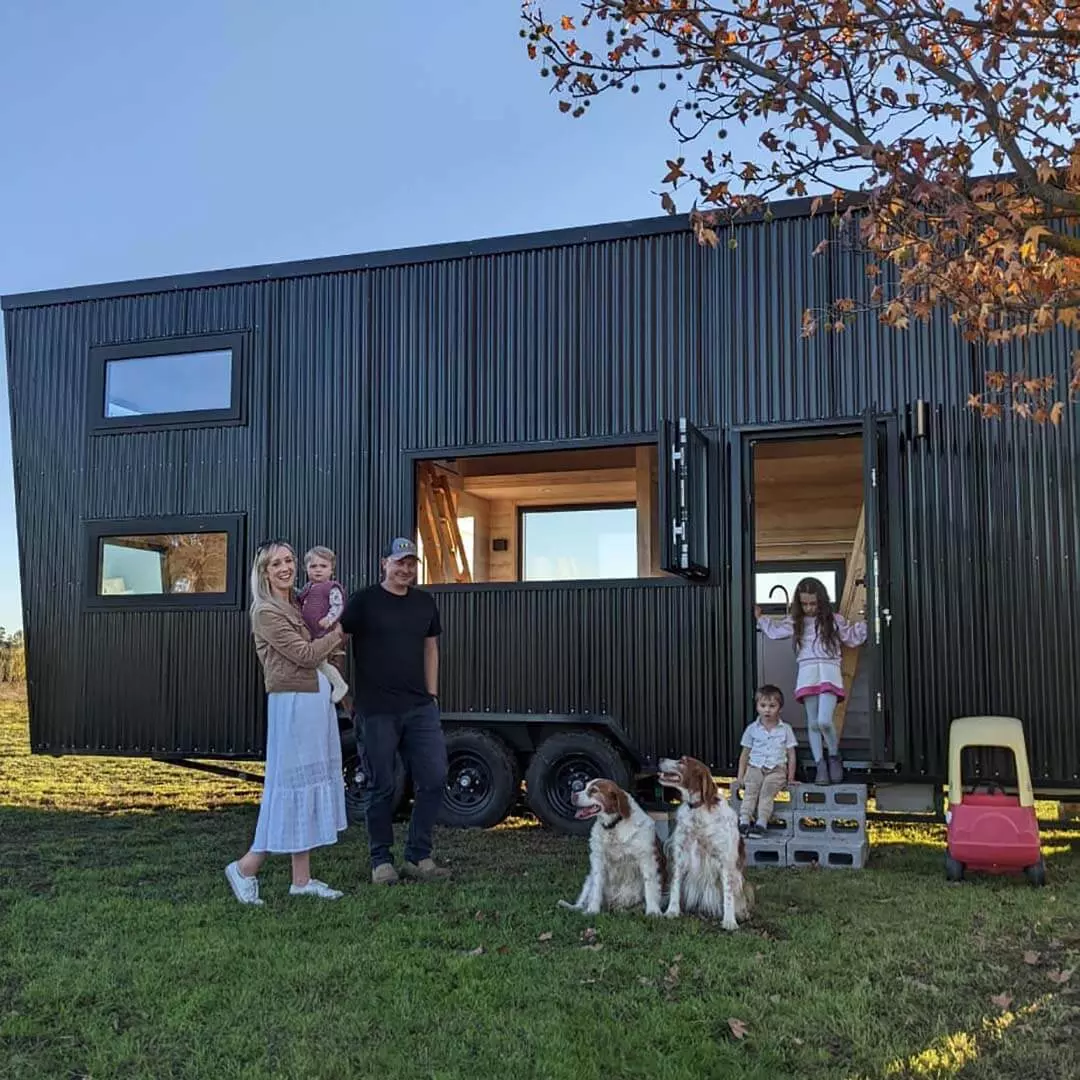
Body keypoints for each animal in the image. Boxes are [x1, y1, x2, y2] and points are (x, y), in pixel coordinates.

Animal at [557, 781, 665, 915]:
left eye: (594, 790)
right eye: (585, 787)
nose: (573, 795)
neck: (614, 826)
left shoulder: (647, 859)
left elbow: (649, 886)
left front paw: (653, 911)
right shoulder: (598, 860)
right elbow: (596, 888)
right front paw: (592, 910)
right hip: (589, 879)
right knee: (581, 903)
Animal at [652, 756, 756, 933]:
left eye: (683, 761)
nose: (660, 758)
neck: (698, 808)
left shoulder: (725, 861)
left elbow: (729, 894)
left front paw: (729, 921)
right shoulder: (680, 854)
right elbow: (675, 885)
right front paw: (672, 911)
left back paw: (741, 913)